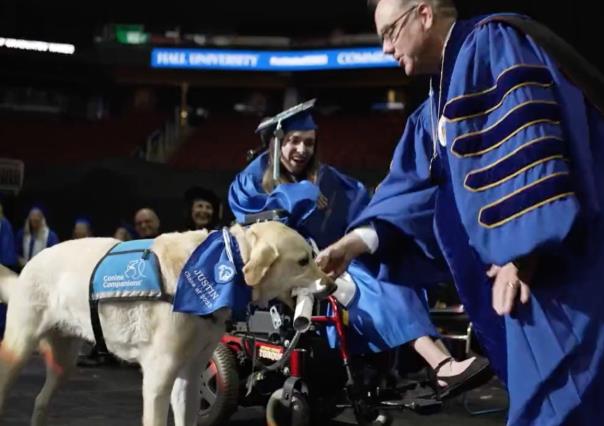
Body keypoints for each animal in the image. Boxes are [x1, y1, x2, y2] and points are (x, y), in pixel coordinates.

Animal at [0, 221, 332, 424]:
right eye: (303, 261)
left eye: (313, 257)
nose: (331, 286)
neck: (225, 262)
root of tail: (32, 261)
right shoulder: (158, 379)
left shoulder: (190, 376)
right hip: (18, 350)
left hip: (64, 364)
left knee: (40, 401)